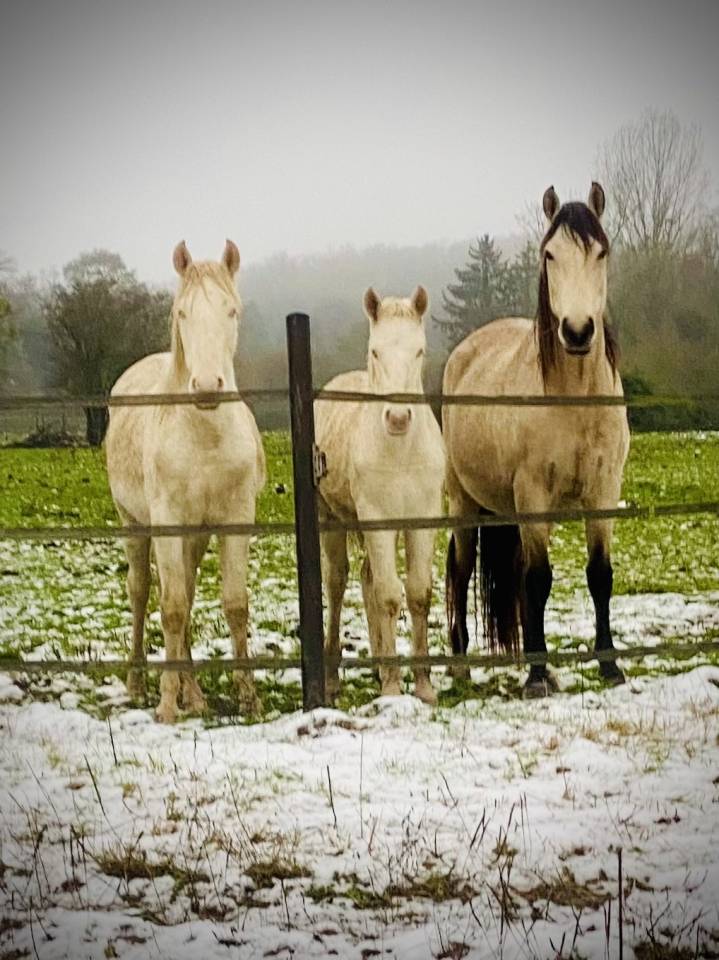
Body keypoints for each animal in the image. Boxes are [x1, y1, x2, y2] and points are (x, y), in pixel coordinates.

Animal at [105, 240, 266, 723]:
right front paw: (165, 704)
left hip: (194, 536)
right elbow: (172, 608)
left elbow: (233, 604)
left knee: (188, 593)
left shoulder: (234, 521)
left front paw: (248, 697)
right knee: (142, 594)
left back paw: (194, 694)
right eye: (182, 313)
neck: (205, 436)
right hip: (135, 525)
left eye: (231, 311)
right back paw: (139, 684)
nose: (208, 386)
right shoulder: (167, 523)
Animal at [314, 287, 446, 704]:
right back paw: (333, 677)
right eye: (376, 352)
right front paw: (392, 686)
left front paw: (423, 685)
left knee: (367, 577)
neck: (401, 451)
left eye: (419, 351)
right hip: (331, 520)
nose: (398, 418)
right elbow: (389, 595)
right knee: (338, 583)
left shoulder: (423, 521)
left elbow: (418, 593)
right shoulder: (378, 521)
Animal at [443, 183, 629, 696]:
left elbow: (599, 575)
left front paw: (609, 665)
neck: (574, 400)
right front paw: (537, 676)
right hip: (465, 503)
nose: (578, 330)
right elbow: (540, 579)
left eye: (601, 252)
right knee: (461, 570)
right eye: (550, 254)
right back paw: (460, 665)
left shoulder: (603, 493)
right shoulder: (533, 496)